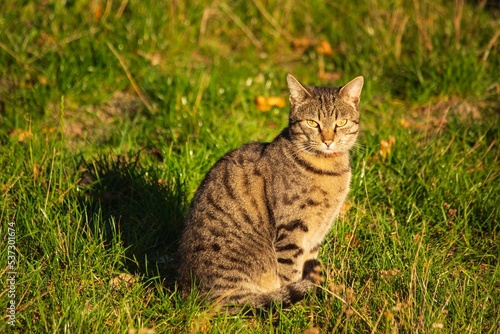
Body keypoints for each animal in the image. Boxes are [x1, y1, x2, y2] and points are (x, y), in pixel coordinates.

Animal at [177, 73, 364, 308]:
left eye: (341, 123)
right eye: (312, 123)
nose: (328, 141)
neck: (328, 168)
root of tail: (189, 295)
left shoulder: (316, 233)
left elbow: (308, 263)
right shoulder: (292, 228)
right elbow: (290, 273)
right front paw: (298, 307)